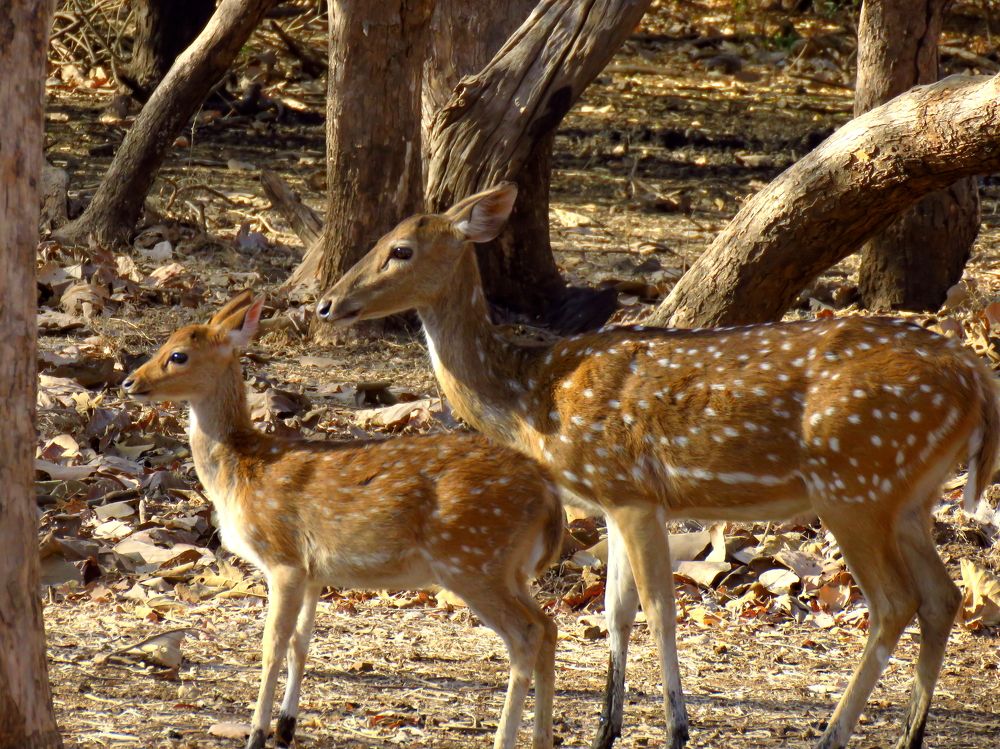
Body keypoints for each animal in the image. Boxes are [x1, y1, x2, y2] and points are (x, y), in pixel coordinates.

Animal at [121, 292, 562, 749]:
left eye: (178, 355)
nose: (129, 383)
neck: (242, 471)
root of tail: (548, 494)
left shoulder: (283, 558)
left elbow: (272, 646)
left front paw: (257, 733)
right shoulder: (315, 572)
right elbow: (300, 643)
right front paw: (285, 727)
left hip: (472, 558)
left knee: (525, 636)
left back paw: (505, 738)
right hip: (508, 567)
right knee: (548, 627)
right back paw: (541, 738)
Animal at [315, 182, 999, 749]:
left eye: (400, 249)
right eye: (375, 242)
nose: (326, 304)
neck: (534, 399)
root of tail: (976, 377)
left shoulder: (632, 491)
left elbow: (657, 609)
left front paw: (676, 729)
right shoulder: (615, 499)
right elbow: (615, 609)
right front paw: (605, 730)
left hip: (855, 484)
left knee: (895, 603)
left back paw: (833, 734)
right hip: (907, 494)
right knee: (941, 598)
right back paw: (909, 734)